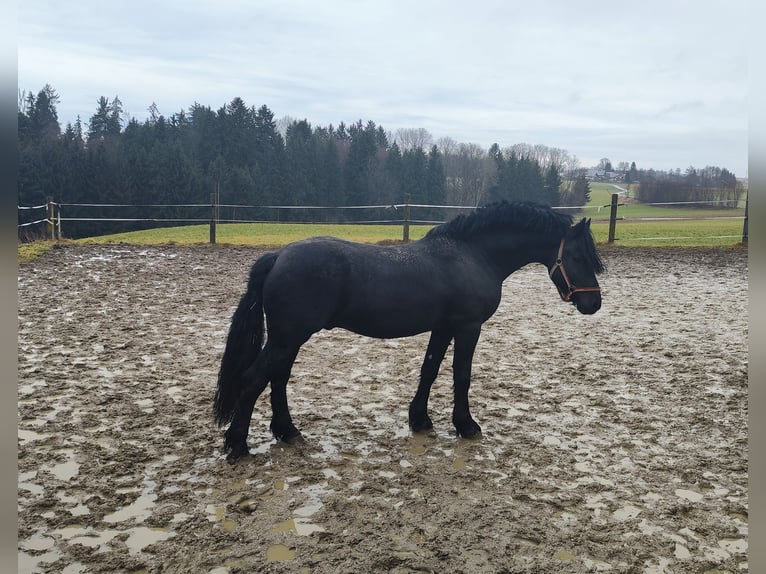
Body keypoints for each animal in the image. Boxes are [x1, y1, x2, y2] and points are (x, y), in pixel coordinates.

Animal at [213, 200, 605, 462]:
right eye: (579, 257)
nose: (593, 304)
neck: (472, 255)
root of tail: (278, 256)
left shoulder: (443, 327)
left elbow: (429, 370)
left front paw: (419, 419)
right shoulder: (468, 327)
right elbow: (461, 375)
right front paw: (466, 425)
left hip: (288, 338)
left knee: (277, 379)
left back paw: (288, 432)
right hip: (287, 337)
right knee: (253, 380)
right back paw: (238, 445)